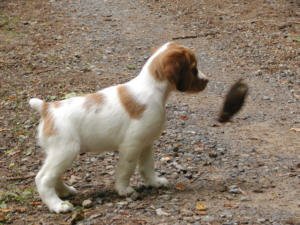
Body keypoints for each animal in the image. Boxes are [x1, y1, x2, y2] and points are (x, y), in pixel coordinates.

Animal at [29, 42, 209, 213]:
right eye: (193, 68)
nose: (207, 80)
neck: (152, 89)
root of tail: (47, 108)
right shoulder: (131, 146)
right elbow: (126, 169)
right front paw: (124, 190)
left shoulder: (146, 143)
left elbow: (147, 167)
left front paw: (154, 182)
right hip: (66, 151)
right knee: (43, 179)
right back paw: (58, 205)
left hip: (59, 154)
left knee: (54, 176)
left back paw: (65, 192)